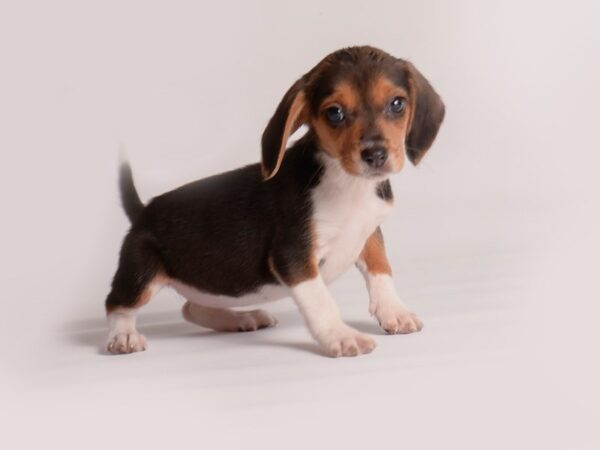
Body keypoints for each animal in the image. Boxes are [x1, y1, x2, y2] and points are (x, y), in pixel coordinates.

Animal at [105, 44, 446, 356]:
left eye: (397, 103)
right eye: (334, 113)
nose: (375, 155)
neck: (347, 182)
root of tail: (144, 210)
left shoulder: (371, 232)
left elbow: (381, 270)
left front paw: (394, 312)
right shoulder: (293, 256)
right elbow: (322, 302)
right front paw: (341, 336)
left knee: (191, 308)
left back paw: (240, 319)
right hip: (141, 274)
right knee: (117, 304)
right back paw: (124, 336)